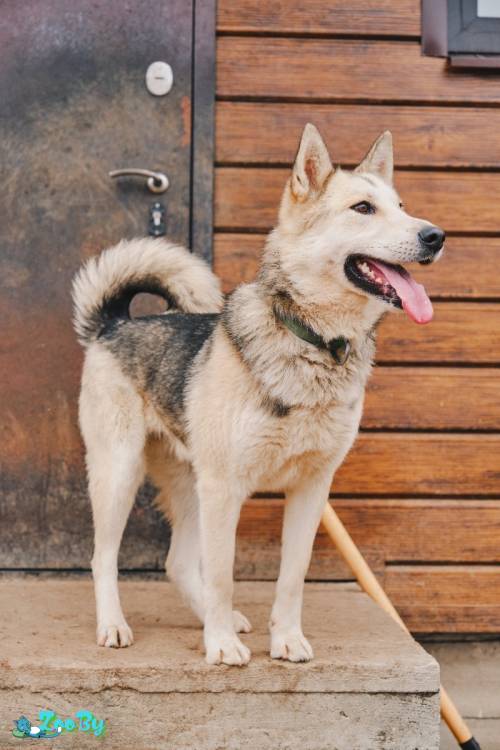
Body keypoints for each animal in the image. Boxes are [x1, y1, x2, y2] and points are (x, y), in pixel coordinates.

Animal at [72, 125, 444, 666]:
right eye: (363, 208)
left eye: (401, 205)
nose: (435, 236)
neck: (314, 343)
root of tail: (115, 322)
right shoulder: (225, 488)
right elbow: (223, 573)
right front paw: (221, 645)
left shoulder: (311, 490)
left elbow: (291, 576)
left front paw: (285, 638)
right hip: (121, 473)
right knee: (104, 558)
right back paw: (114, 625)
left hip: (190, 482)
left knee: (177, 563)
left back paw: (217, 619)